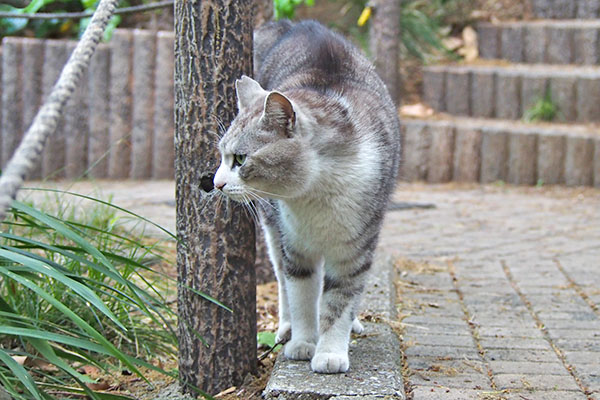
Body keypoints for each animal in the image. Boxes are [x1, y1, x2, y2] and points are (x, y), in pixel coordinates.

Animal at [213, 19, 400, 376]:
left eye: (240, 159)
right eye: (222, 156)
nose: (215, 183)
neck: (316, 196)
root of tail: (293, 23)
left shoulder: (356, 249)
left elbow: (340, 300)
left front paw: (330, 353)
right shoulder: (295, 246)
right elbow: (301, 296)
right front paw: (303, 343)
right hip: (273, 229)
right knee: (281, 277)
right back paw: (287, 327)